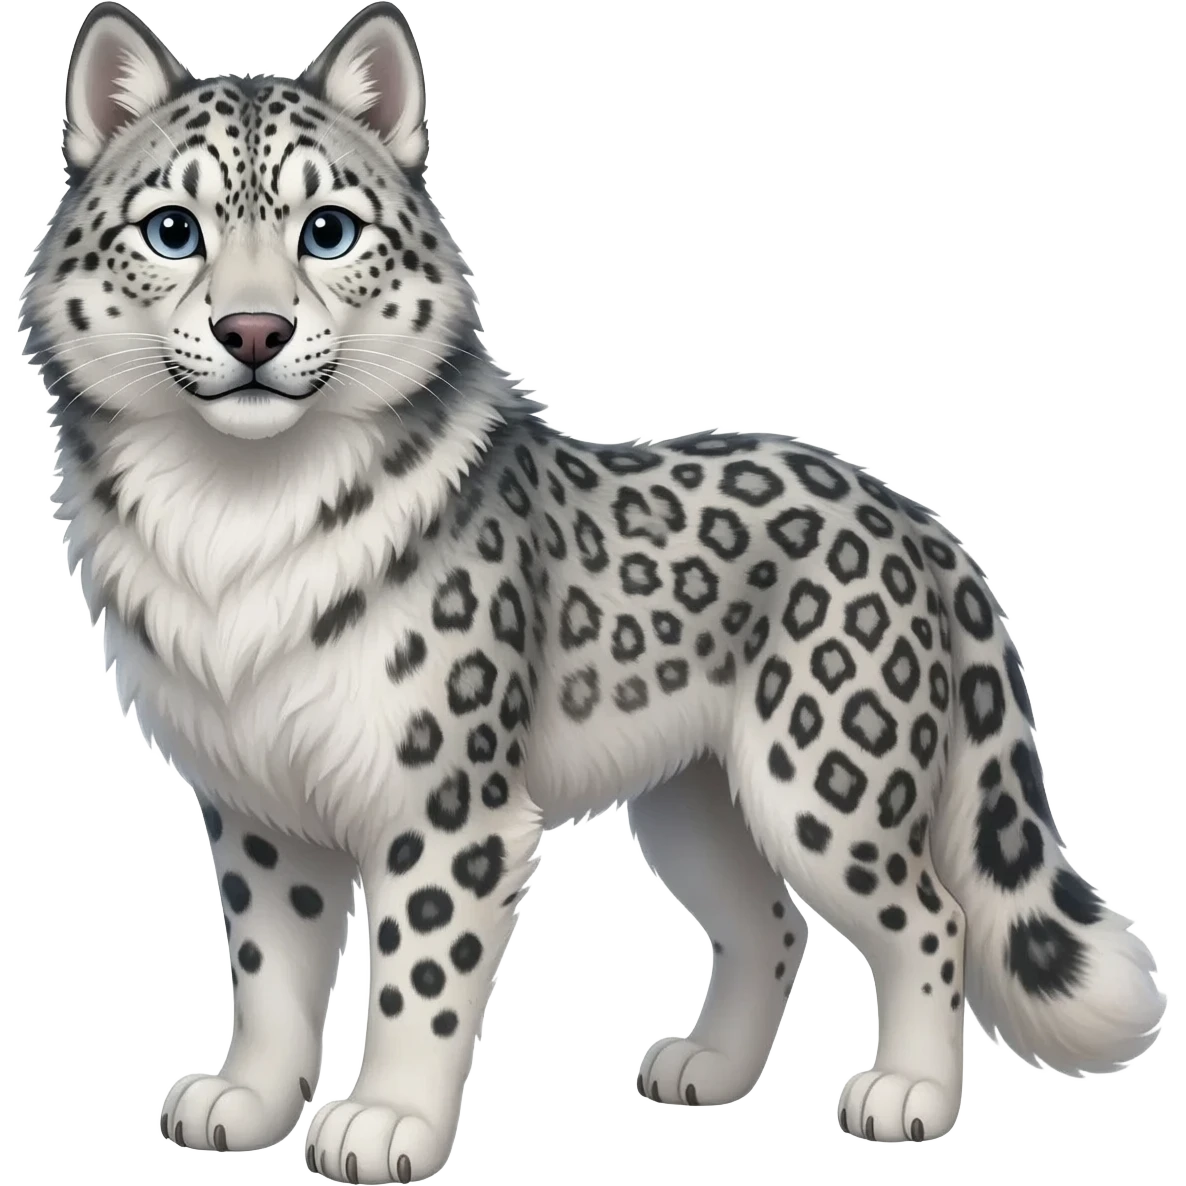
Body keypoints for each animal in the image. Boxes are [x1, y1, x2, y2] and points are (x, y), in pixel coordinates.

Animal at [20, 3, 1168, 1182]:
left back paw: (909, 1096)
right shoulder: (256, 798)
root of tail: (912, 514)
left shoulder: (445, 801)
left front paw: (385, 1122)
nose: (255, 331)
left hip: (825, 778)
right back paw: (707, 1072)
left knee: (929, 917)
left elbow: (417, 973)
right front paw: (247, 1102)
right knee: (769, 922)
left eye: (328, 230)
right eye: (173, 230)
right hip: (697, 803)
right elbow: (270, 966)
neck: (234, 516)